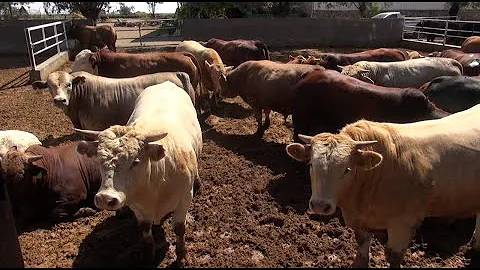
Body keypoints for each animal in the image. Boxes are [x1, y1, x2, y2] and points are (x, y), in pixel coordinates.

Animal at [75, 80, 202, 266]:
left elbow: (179, 229)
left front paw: (181, 257)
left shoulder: (184, 198)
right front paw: (148, 256)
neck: (156, 183)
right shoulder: (137, 206)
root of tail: (165, 83)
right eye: (98, 161)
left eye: (135, 161)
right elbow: (145, 230)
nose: (106, 198)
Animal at [284, 103, 480, 268]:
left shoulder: (404, 223)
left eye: (347, 169)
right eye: (311, 164)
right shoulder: (359, 220)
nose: (319, 206)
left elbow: (393, 256)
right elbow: (362, 248)